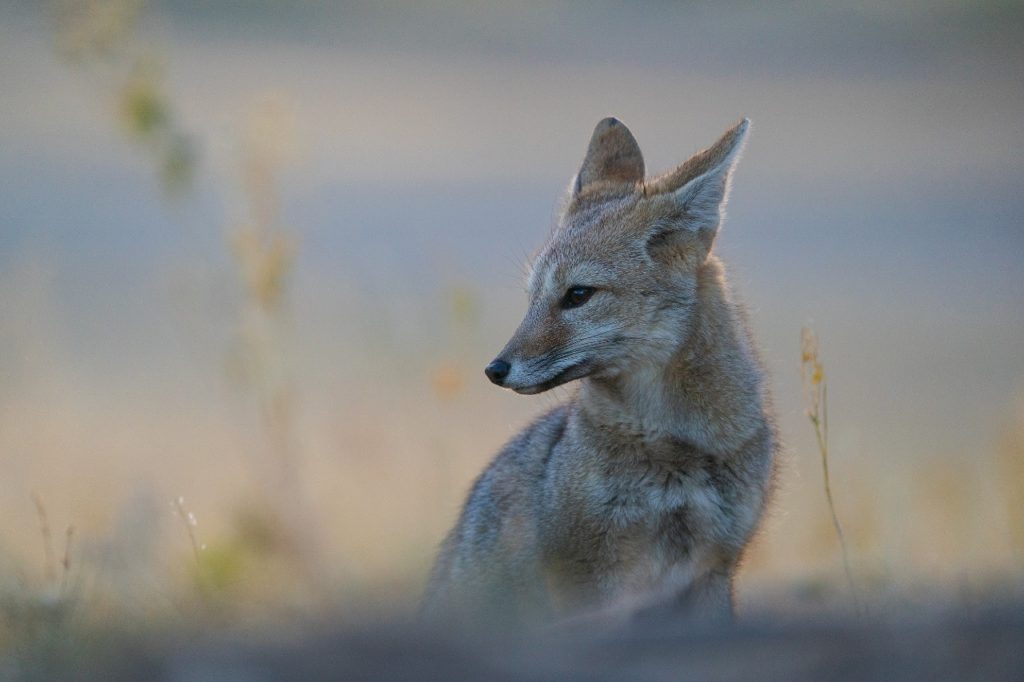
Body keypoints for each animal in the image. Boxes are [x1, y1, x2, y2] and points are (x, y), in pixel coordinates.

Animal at [421, 115, 774, 626]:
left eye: (578, 295)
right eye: (533, 298)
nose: (494, 369)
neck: (675, 446)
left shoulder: (715, 565)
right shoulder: (585, 576)